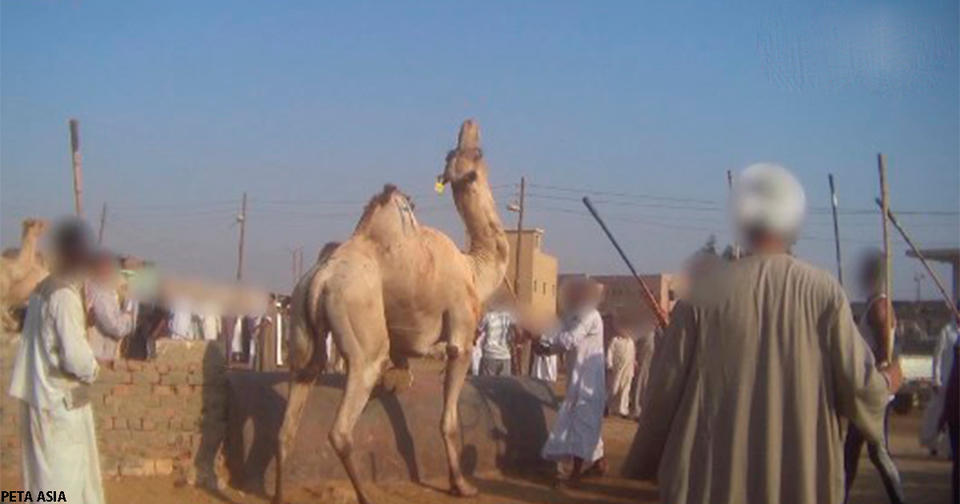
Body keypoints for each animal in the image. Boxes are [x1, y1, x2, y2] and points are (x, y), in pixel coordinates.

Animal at [274, 119, 510, 504]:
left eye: (456, 151)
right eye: (477, 153)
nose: (469, 123)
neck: (475, 268)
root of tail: (322, 277)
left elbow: (403, 373)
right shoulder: (461, 333)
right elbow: (449, 419)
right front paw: (461, 485)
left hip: (300, 327)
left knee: (288, 420)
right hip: (363, 334)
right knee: (341, 427)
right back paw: (365, 495)